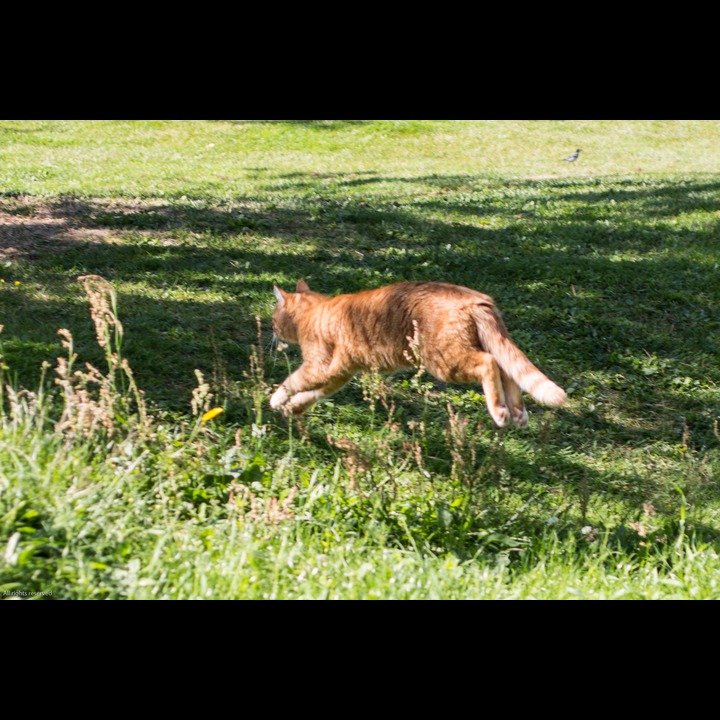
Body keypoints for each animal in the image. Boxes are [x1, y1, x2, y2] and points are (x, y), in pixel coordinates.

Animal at [268, 282, 564, 428]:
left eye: (273, 318)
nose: (271, 328)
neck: (314, 312)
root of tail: (476, 298)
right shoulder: (338, 375)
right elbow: (311, 394)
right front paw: (293, 408)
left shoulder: (320, 367)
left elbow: (293, 381)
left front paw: (276, 399)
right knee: (507, 368)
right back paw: (518, 412)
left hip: (445, 362)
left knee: (490, 364)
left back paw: (501, 412)